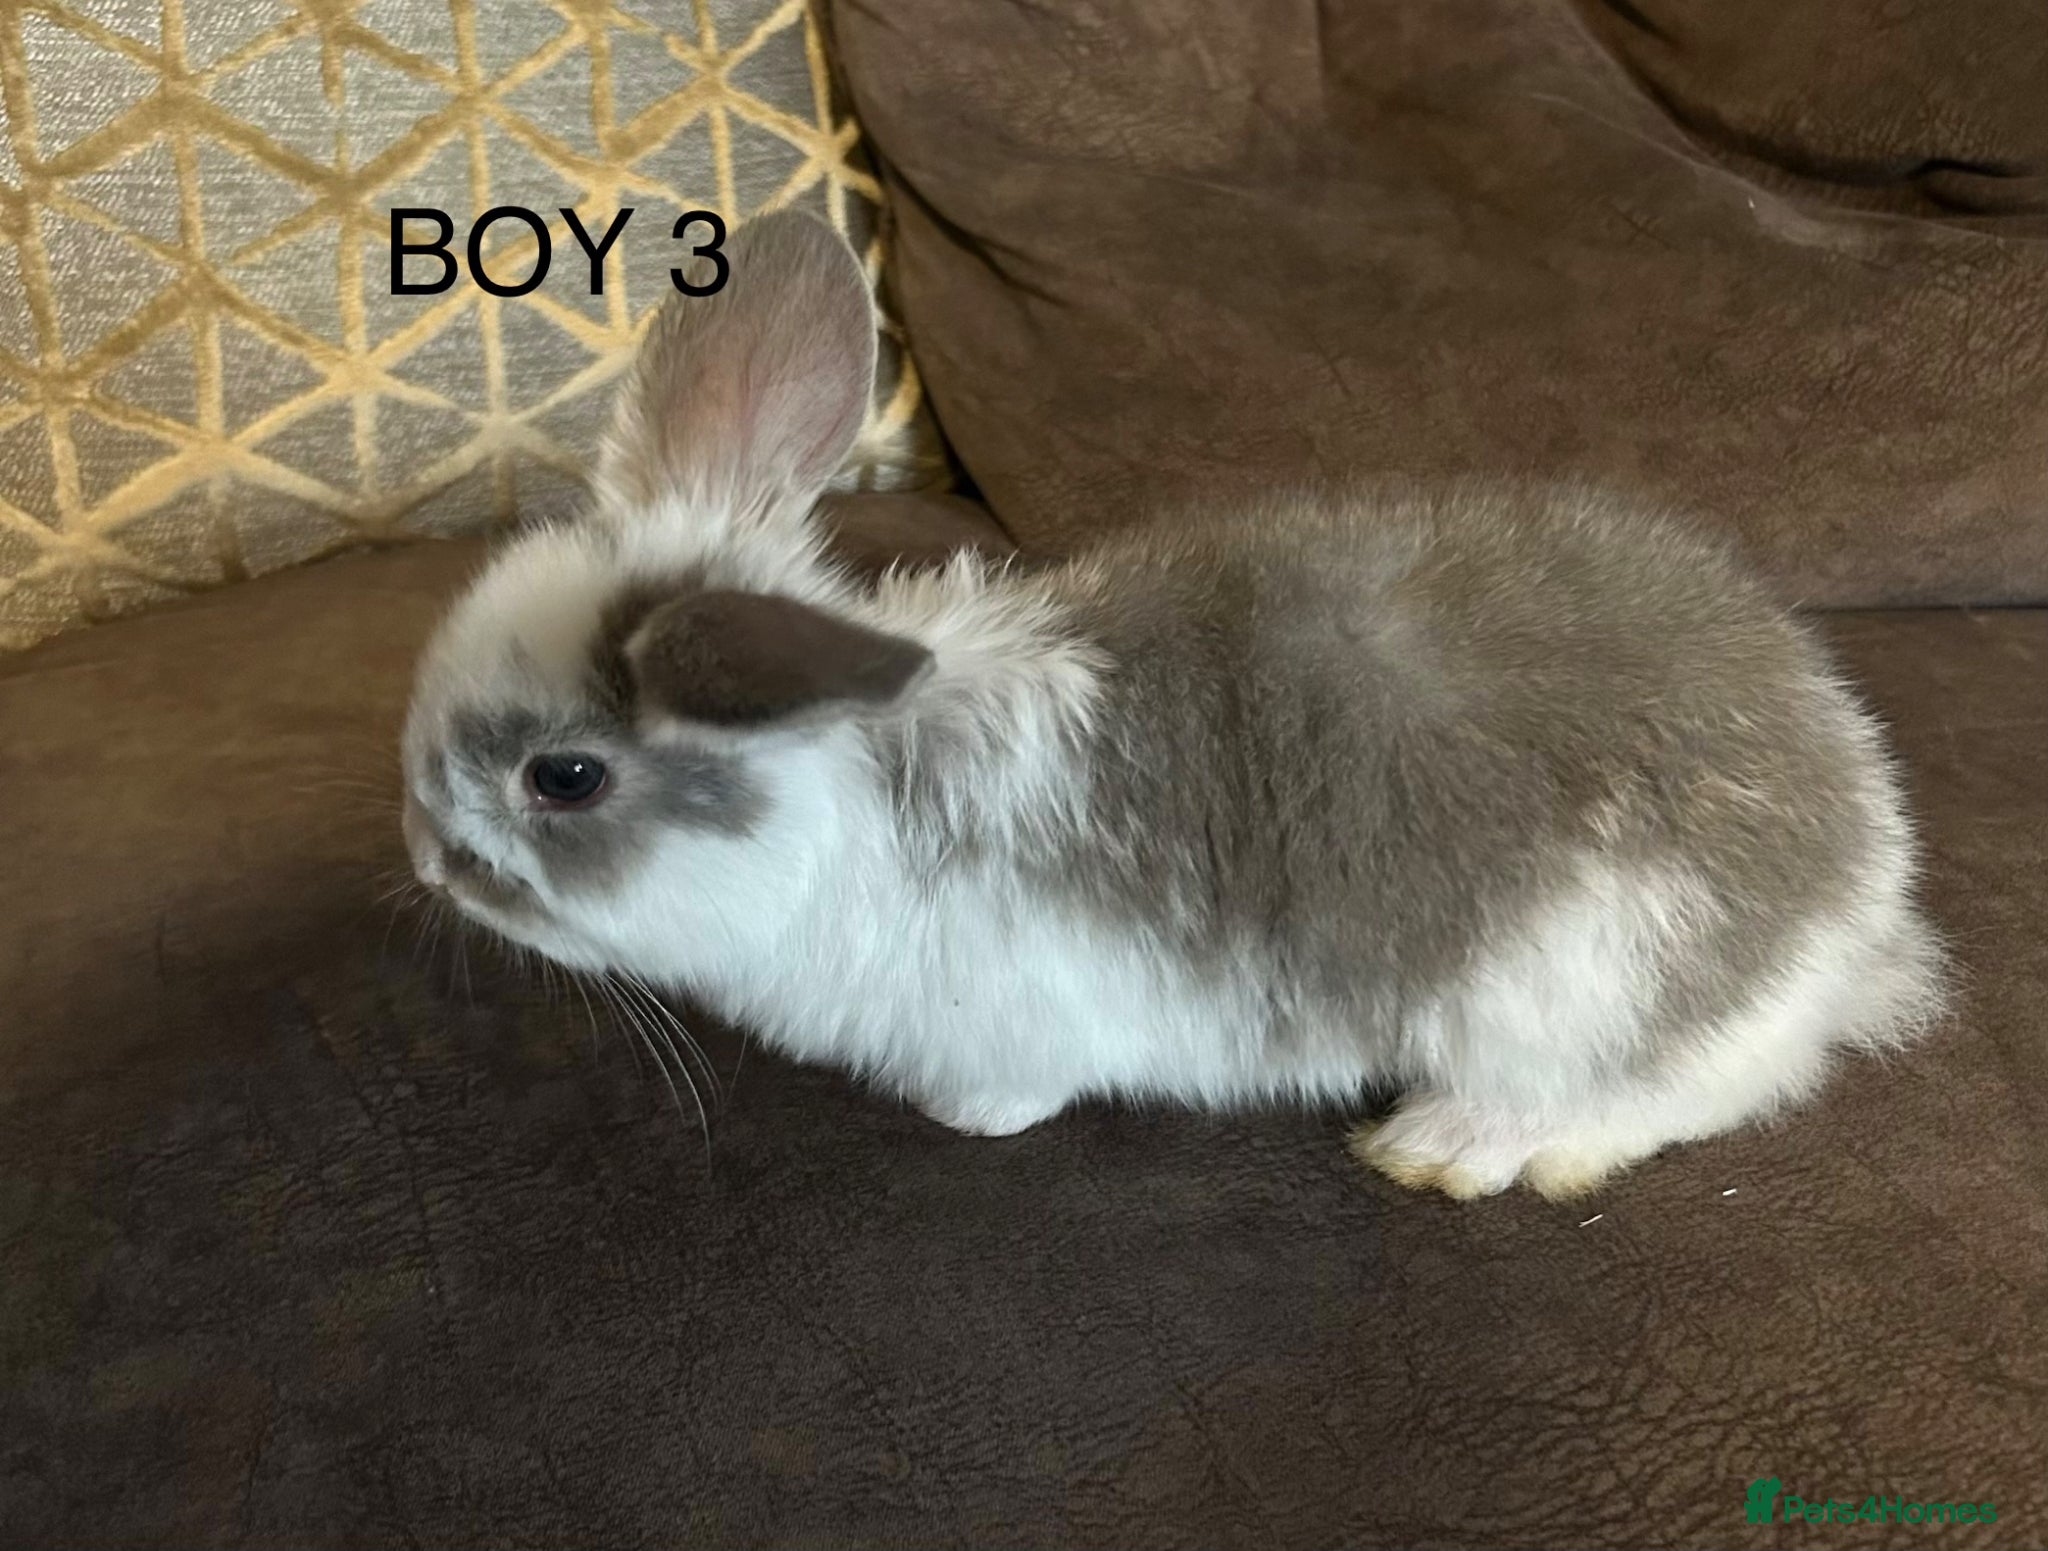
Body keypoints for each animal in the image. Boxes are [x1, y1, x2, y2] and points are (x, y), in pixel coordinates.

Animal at [399, 210, 1947, 1200]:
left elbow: (1017, 1085)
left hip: (1585, 973)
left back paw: (1462, 1147)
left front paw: (963, 1118)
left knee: (1707, 1081)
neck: (842, 800)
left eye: (564, 777)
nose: (426, 860)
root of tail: (1861, 861)